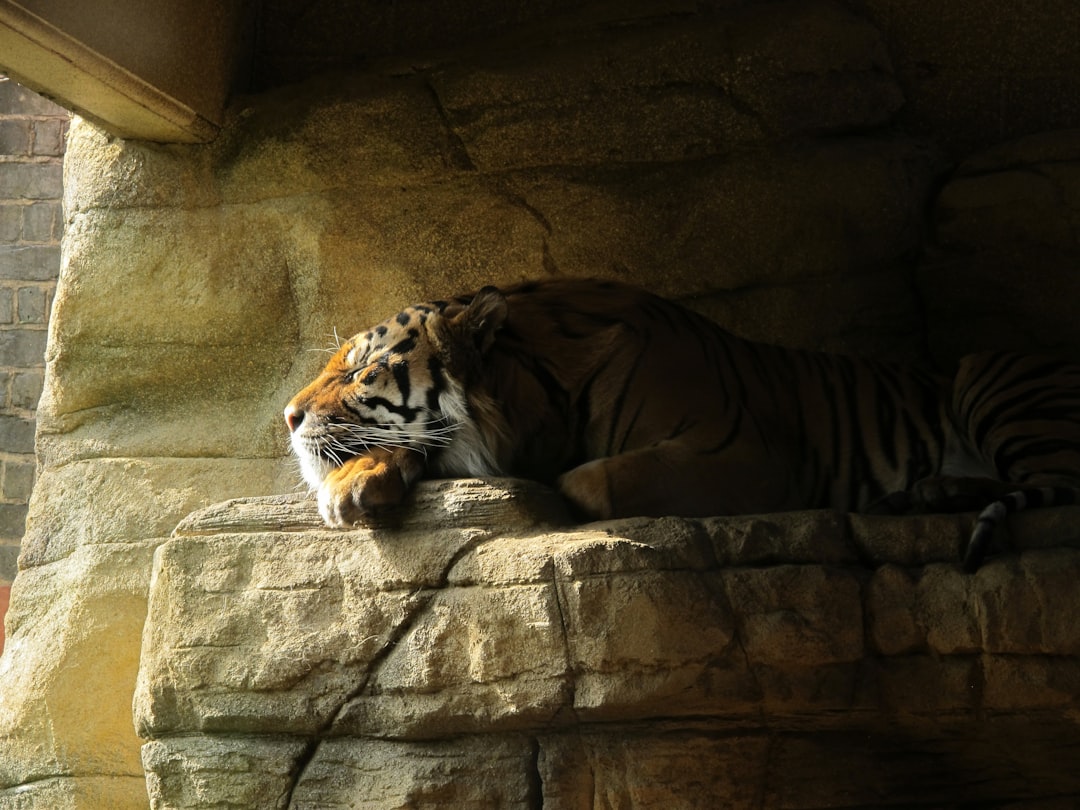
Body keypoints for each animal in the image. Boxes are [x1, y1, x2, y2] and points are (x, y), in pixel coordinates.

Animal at [284, 278, 1080, 571]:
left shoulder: (750, 454)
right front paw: (354, 483)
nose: (287, 416)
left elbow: (590, 482)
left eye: (359, 371)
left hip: (989, 377)